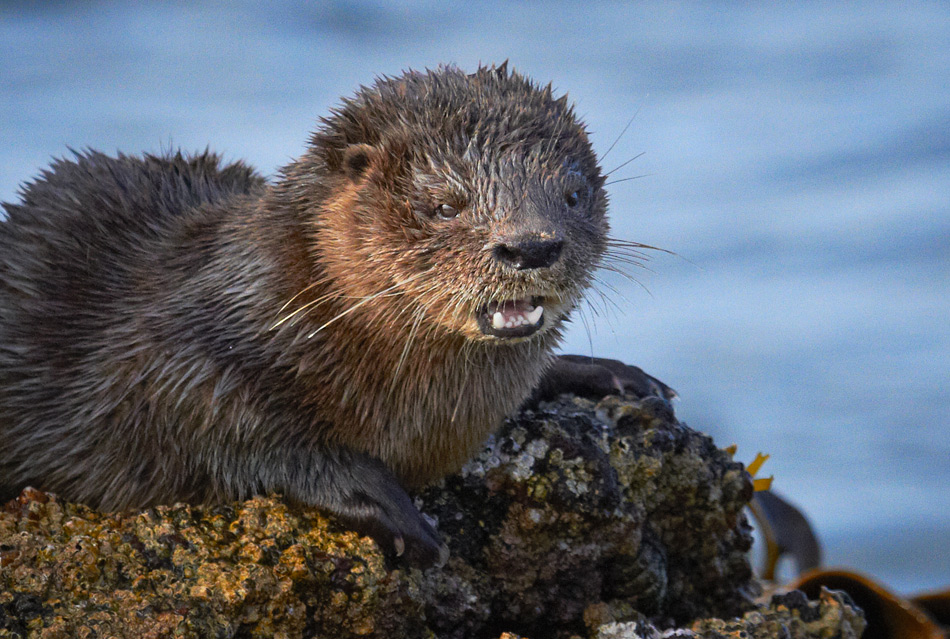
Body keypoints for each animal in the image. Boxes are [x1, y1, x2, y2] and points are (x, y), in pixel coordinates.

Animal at [0, 65, 672, 564]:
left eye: (573, 195)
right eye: (444, 206)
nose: (531, 245)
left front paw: (605, 374)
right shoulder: (165, 361)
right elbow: (224, 432)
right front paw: (389, 505)